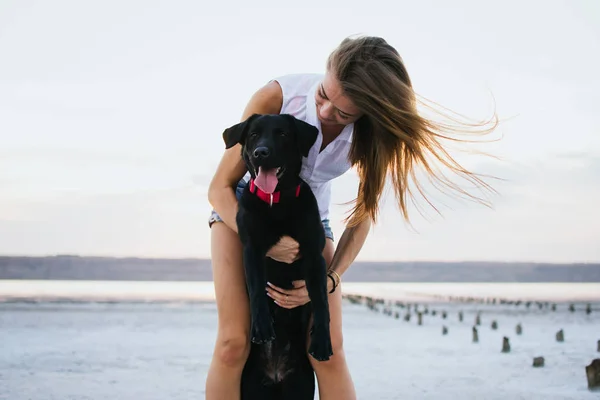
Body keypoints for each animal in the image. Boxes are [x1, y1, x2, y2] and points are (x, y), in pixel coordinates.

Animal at [221, 114, 332, 398]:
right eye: (253, 135)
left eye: (282, 134)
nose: (261, 152)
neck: (276, 202)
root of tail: (275, 373)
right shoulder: (252, 249)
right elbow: (257, 289)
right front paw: (262, 326)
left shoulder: (314, 255)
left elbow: (321, 301)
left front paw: (322, 341)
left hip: (300, 387)